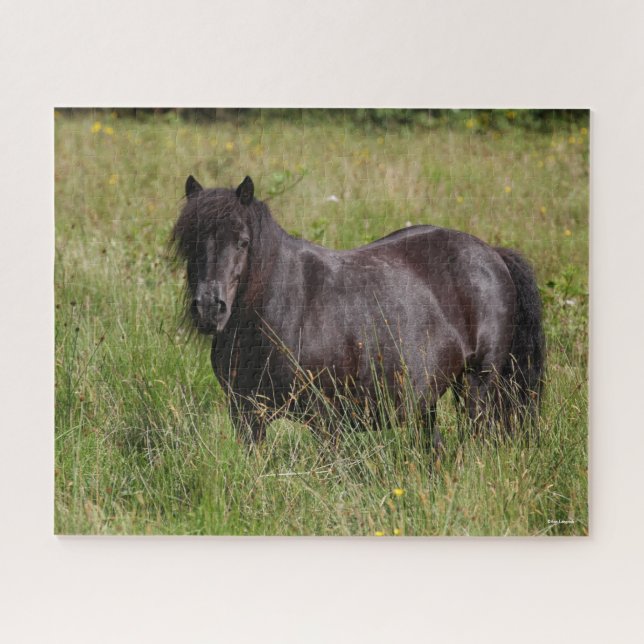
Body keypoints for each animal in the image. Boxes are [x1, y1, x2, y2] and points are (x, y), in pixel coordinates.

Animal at [172, 175, 545, 450]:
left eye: (243, 242)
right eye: (189, 241)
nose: (209, 308)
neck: (282, 309)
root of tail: (492, 254)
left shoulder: (325, 420)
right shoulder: (247, 415)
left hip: (478, 385)